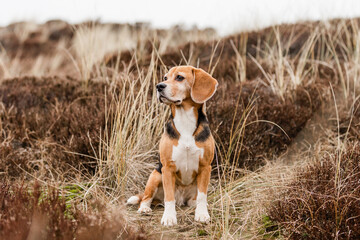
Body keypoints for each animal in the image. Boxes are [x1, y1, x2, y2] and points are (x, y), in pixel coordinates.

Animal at [126, 65, 217, 225]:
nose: (159, 86)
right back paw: (144, 208)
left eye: (179, 77)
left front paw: (202, 214)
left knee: (194, 199)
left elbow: (202, 196)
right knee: (146, 197)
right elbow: (169, 197)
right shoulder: (167, 168)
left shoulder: (206, 167)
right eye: (165, 78)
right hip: (156, 175)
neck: (185, 119)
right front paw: (169, 217)